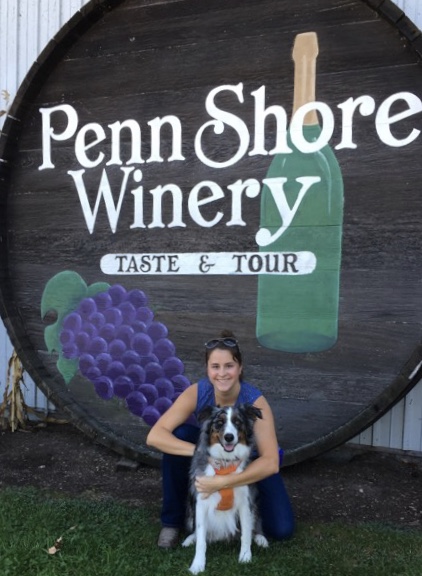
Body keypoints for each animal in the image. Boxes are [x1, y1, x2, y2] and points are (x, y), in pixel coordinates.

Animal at [181, 402, 268, 572]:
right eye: (219, 422)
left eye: (237, 422)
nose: (229, 437)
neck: (225, 462)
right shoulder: (201, 502)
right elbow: (201, 538)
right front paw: (198, 564)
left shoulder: (245, 502)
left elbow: (246, 533)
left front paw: (245, 557)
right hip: (189, 508)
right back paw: (189, 539)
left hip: (255, 505)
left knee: (255, 526)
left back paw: (261, 539)